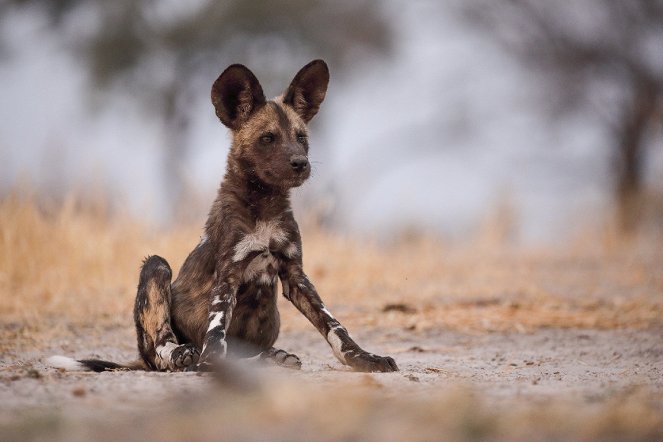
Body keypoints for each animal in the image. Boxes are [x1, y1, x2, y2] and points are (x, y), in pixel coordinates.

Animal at [49, 60, 400, 374]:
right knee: (159, 347)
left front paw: (364, 359)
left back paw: (271, 357)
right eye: (268, 138)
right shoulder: (228, 275)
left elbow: (334, 327)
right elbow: (216, 334)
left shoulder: (295, 274)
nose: (301, 163)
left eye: (301, 137)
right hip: (157, 269)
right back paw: (185, 355)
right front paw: (210, 364)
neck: (264, 206)